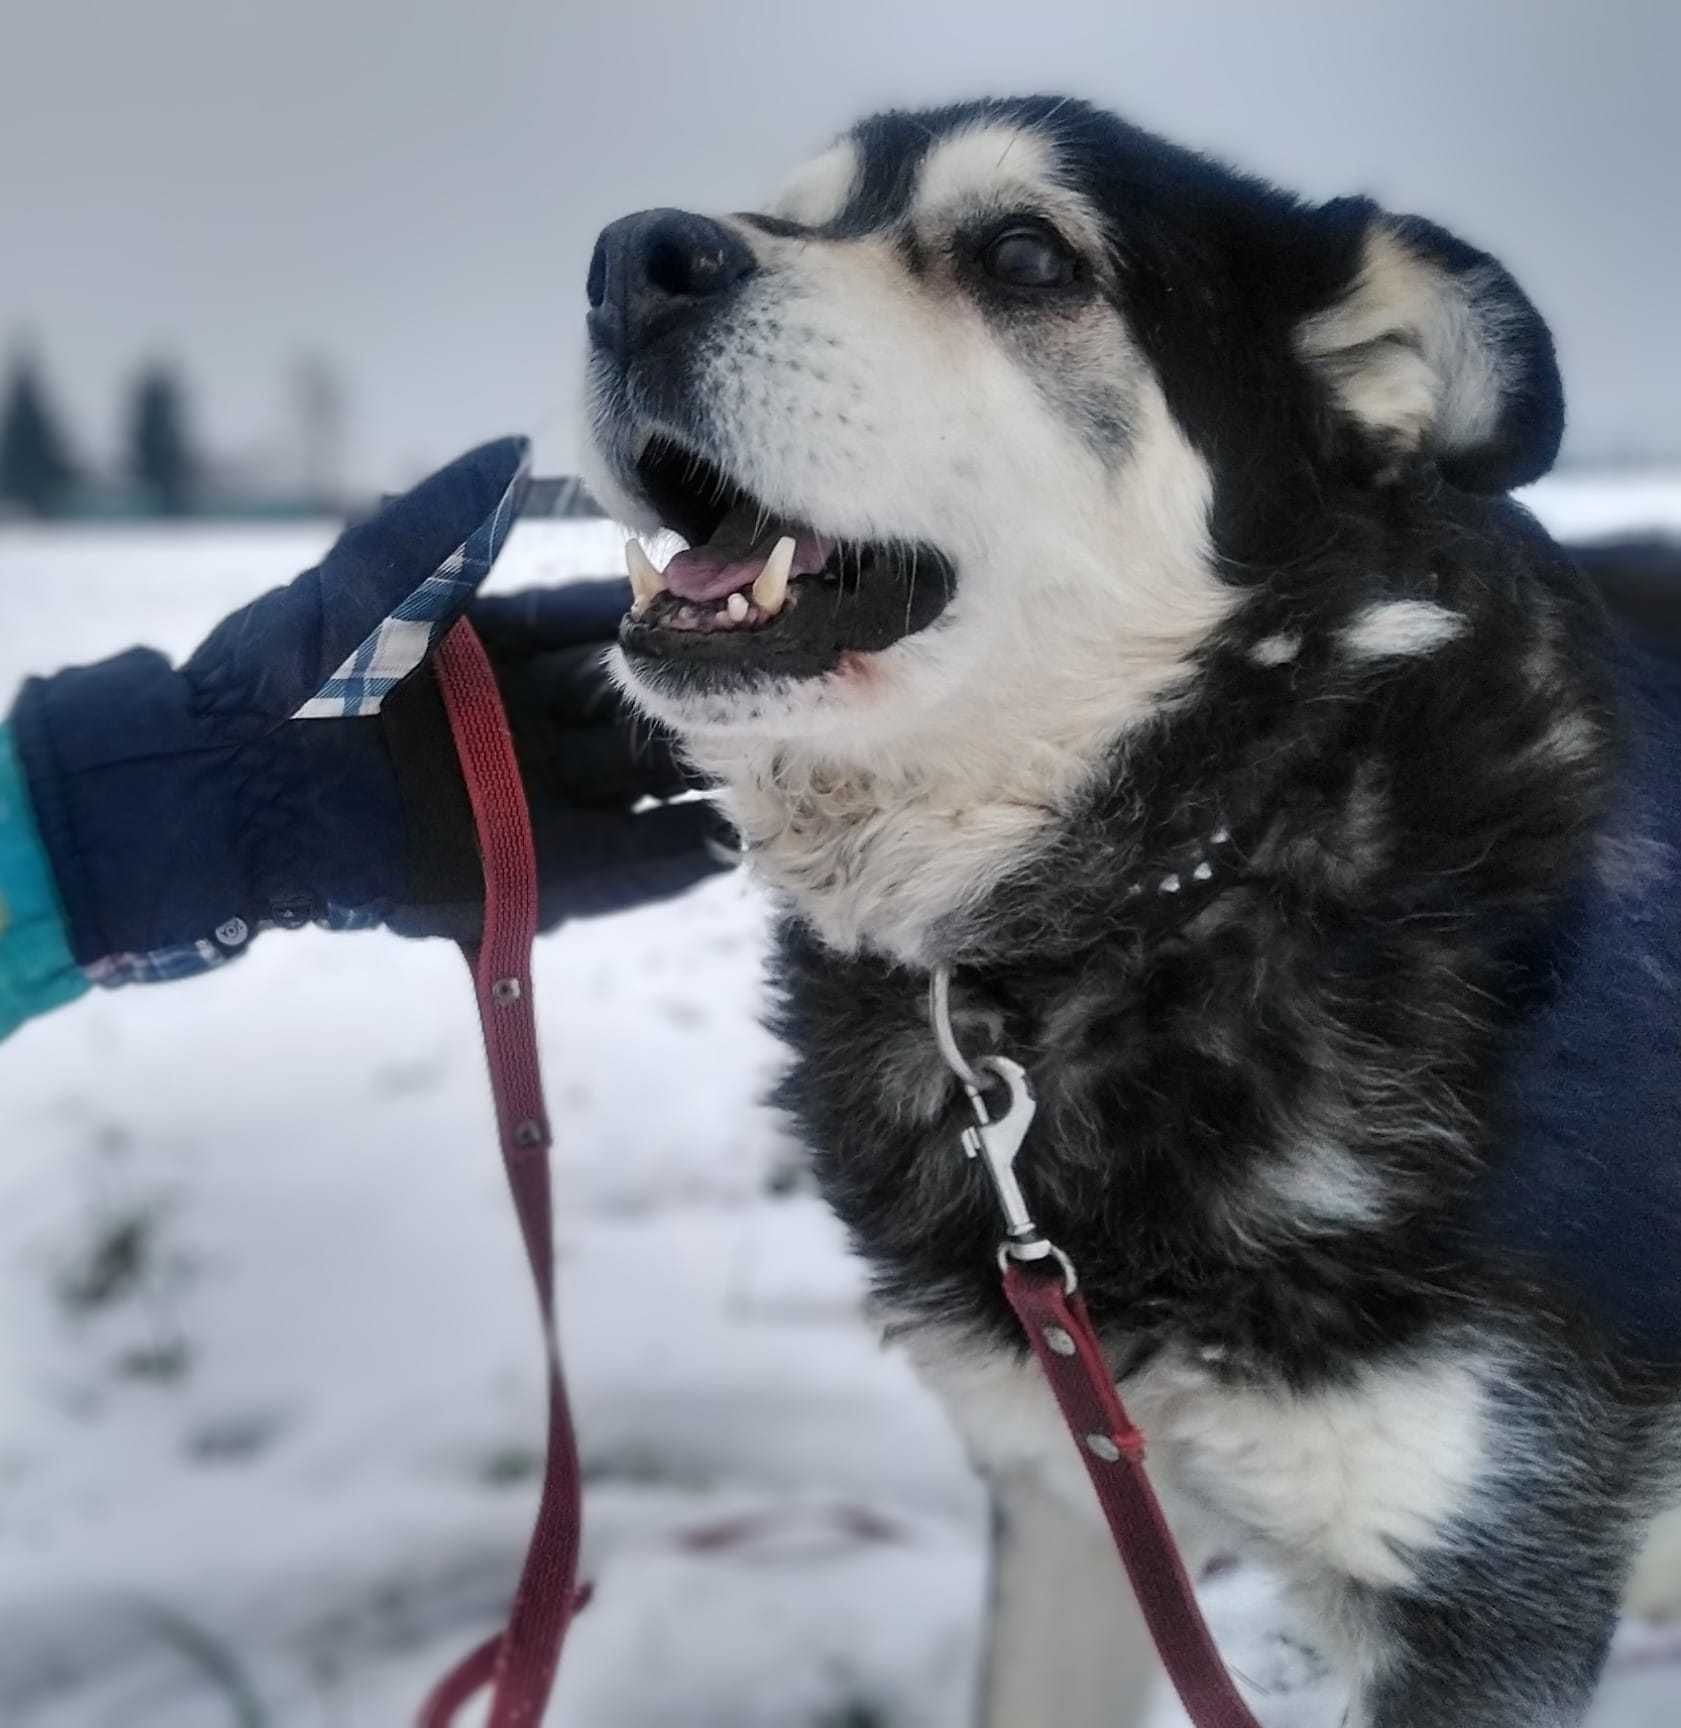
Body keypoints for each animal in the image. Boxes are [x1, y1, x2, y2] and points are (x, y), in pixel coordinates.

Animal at [580, 98, 1679, 1728]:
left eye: (1025, 255)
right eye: (794, 210)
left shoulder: (1488, 1586)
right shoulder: (1069, 1478)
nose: (627, 263)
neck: (1210, 862)